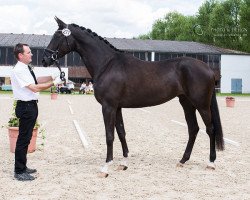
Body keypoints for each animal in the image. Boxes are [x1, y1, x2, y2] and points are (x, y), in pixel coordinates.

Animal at [42, 17, 224, 177]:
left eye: (57, 36)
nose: (44, 59)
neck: (107, 64)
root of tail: (208, 68)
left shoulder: (108, 107)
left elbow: (109, 135)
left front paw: (106, 167)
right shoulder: (117, 107)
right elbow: (121, 132)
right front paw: (123, 163)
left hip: (201, 104)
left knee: (210, 129)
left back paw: (211, 163)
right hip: (186, 103)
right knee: (193, 129)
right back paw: (182, 160)